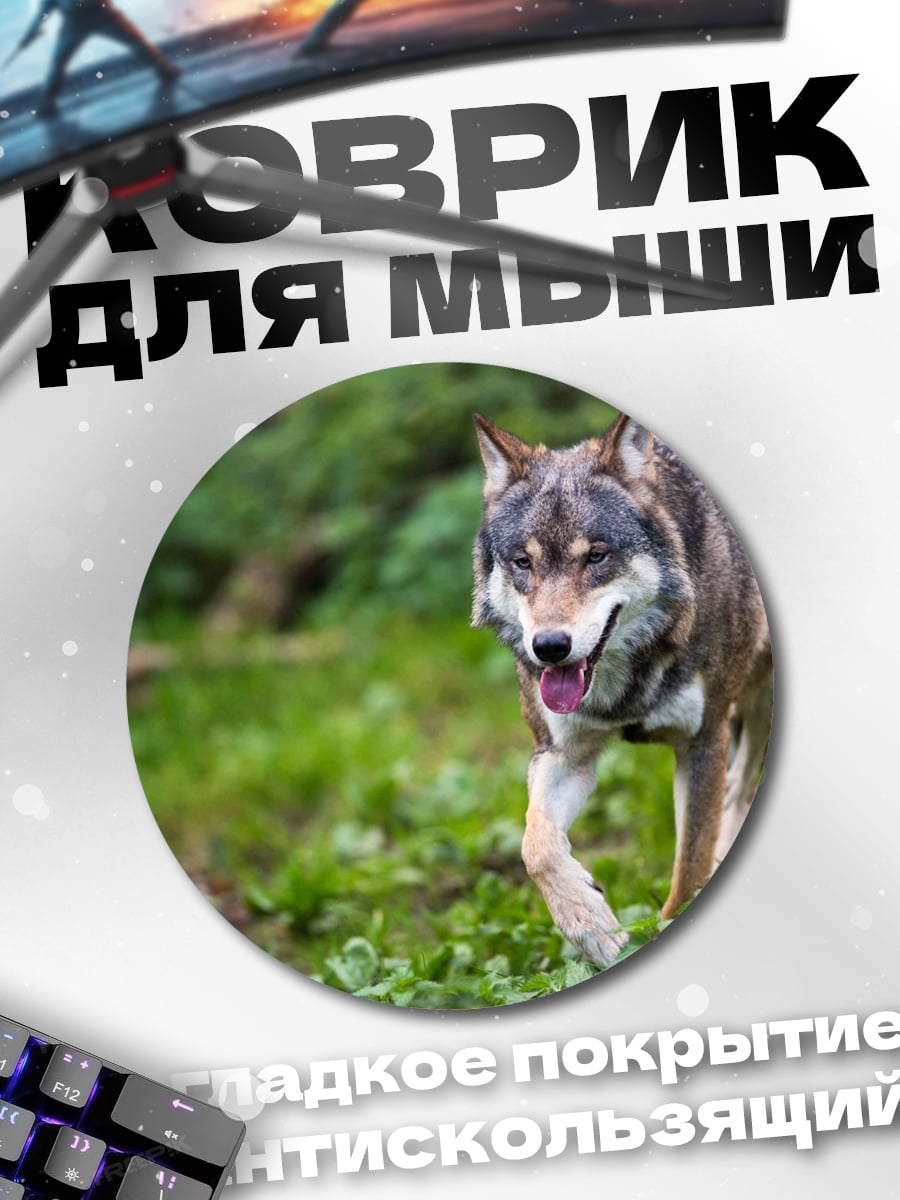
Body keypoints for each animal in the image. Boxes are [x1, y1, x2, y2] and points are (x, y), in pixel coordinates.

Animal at [471, 412, 772, 965]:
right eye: (523, 562)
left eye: (596, 556)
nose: (549, 646)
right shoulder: (563, 755)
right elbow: (534, 845)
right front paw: (589, 924)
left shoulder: (704, 741)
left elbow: (688, 866)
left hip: (755, 707)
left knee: (739, 789)